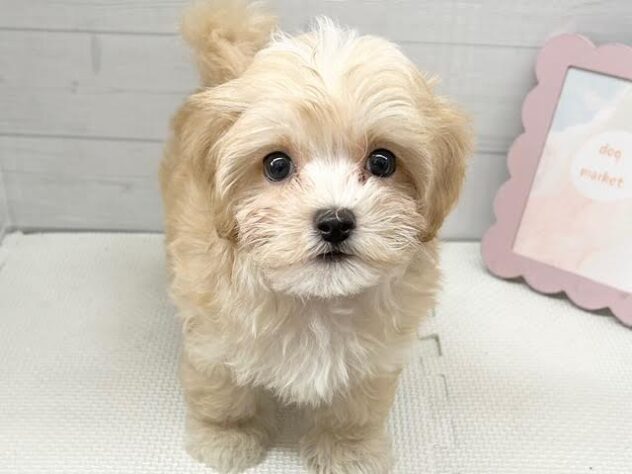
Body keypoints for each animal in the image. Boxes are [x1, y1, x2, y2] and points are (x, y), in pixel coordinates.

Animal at [160, 1, 472, 472]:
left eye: (382, 162)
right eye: (276, 166)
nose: (335, 221)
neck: (317, 300)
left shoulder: (372, 362)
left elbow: (354, 410)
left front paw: (349, 452)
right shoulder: (215, 340)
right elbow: (224, 394)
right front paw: (226, 439)